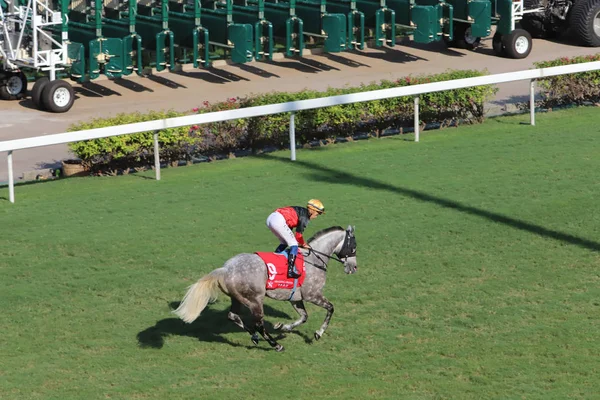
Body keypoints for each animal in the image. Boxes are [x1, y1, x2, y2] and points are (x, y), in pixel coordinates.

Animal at [173, 227, 356, 352]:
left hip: (238, 298)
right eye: (353, 246)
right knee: (258, 323)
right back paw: (276, 345)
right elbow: (330, 308)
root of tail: (226, 269)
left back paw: (254, 336)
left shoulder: (296, 298)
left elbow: (304, 317)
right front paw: (318, 333)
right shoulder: (313, 295)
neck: (312, 260)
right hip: (255, 300)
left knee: (233, 316)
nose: (354, 268)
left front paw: (283, 327)